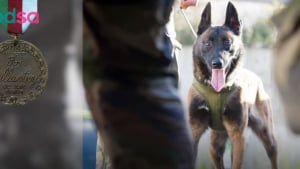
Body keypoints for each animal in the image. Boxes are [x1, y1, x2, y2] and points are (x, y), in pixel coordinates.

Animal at [188, 1, 278, 169]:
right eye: (207, 43)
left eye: (227, 42)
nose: (217, 64)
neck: (216, 91)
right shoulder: (193, 131)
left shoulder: (238, 137)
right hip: (215, 148)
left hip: (267, 135)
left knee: (273, 154)